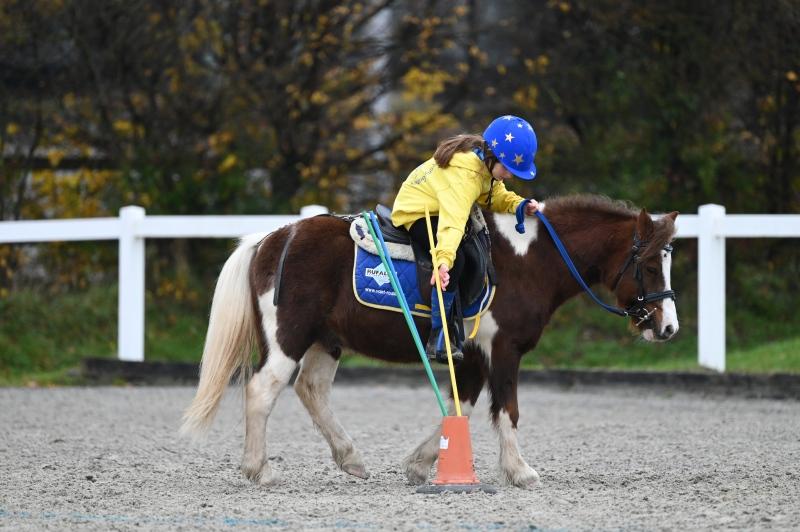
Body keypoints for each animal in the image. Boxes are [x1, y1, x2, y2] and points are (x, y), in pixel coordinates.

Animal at [180, 194, 679, 488]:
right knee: (262, 392)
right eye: (650, 264)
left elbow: (463, 409)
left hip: (326, 340)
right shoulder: (503, 352)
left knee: (311, 390)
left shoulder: (473, 358)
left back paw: (351, 458)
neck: (527, 260)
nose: (668, 327)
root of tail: (271, 238)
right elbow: (507, 410)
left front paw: (420, 465)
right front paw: (520, 471)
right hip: (288, 339)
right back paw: (259, 469)